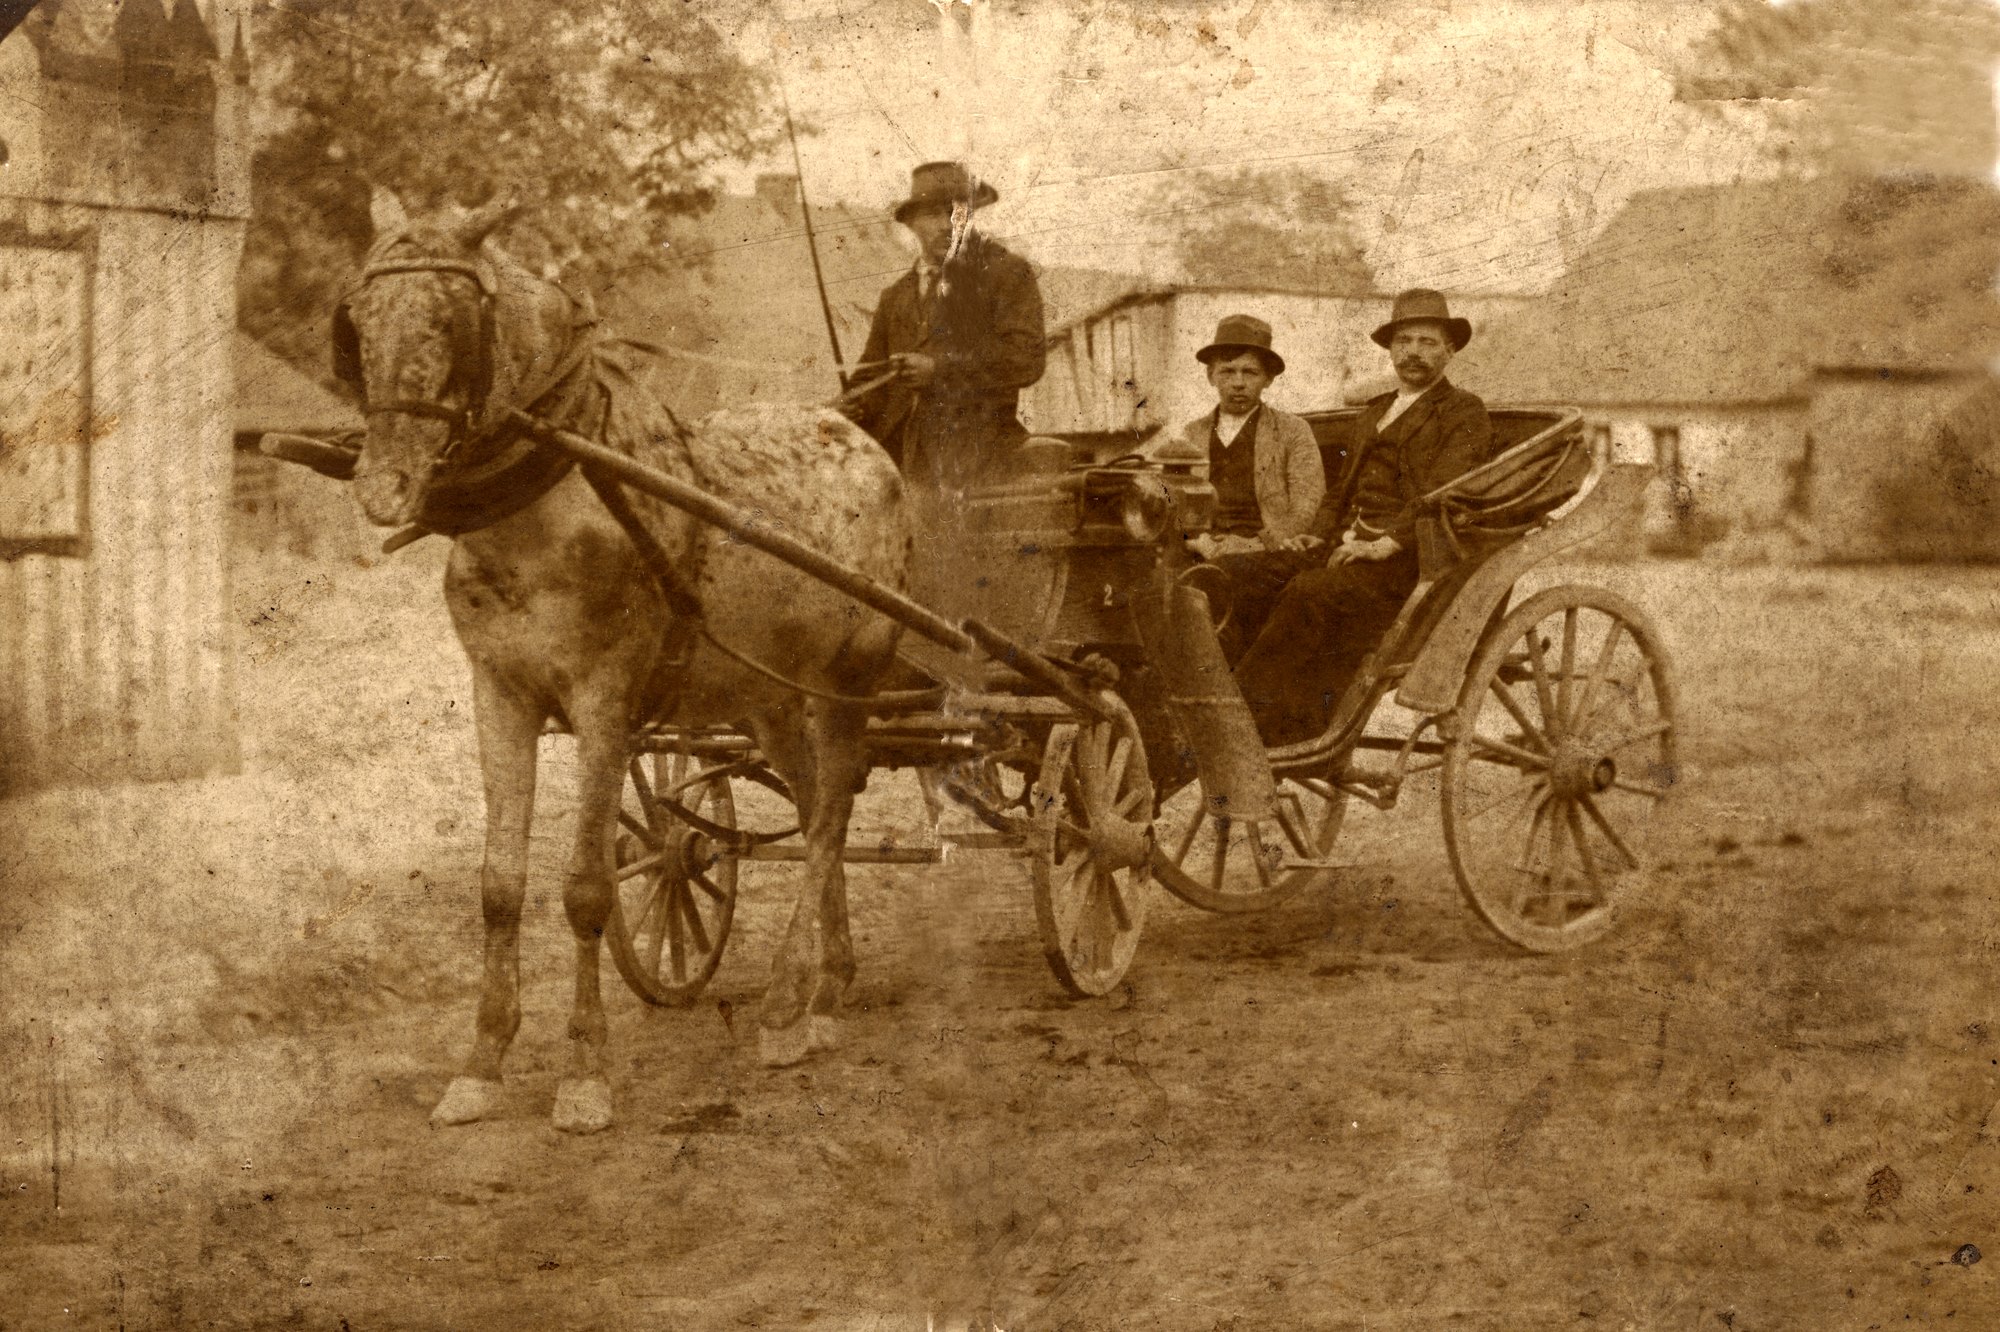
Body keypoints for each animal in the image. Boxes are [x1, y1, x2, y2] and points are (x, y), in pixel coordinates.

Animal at [339, 188, 909, 1133]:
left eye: (454, 318)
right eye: (357, 318)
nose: (384, 485)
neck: (545, 500)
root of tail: (860, 439)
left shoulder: (604, 700)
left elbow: (586, 888)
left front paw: (584, 1074)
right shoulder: (500, 693)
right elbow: (500, 886)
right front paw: (482, 1065)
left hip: (847, 682)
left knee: (829, 819)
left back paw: (788, 1011)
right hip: (768, 695)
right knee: (814, 803)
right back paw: (831, 984)